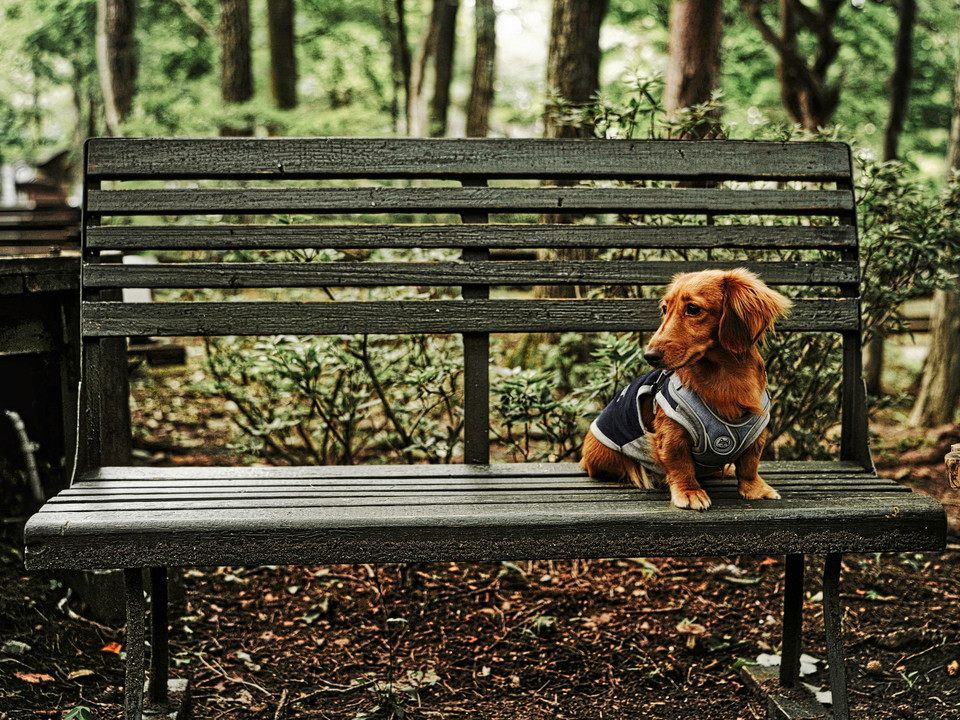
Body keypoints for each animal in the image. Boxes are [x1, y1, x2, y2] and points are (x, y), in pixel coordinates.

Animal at [580, 268, 792, 510]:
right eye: (665, 309)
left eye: (692, 309)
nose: (649, 356)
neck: (725, 377)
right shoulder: (673, 434)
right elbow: (680, 465)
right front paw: (689, 492)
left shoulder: (757, 434)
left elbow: (749, 464)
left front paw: (755, 489)